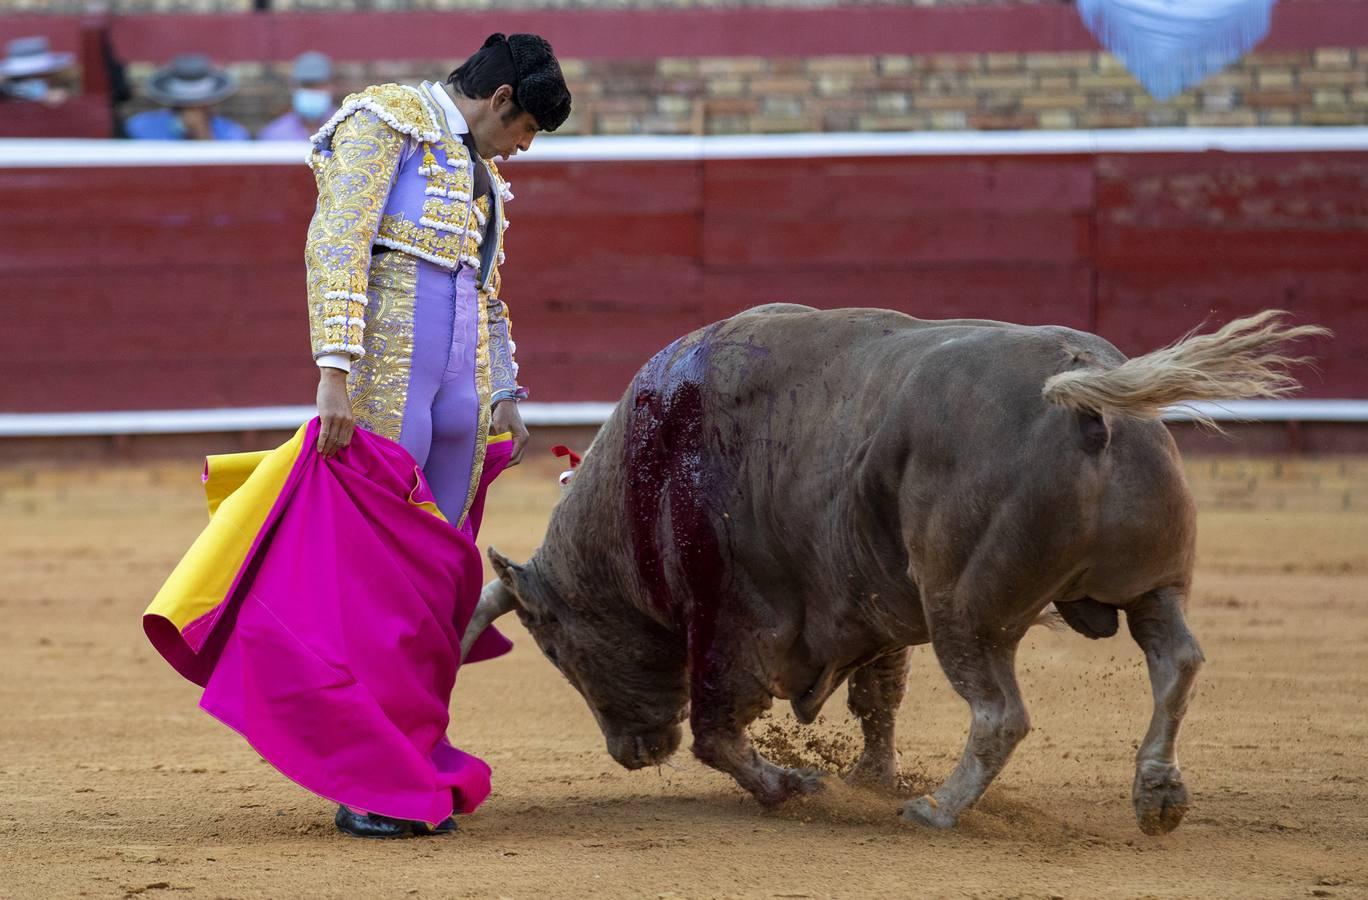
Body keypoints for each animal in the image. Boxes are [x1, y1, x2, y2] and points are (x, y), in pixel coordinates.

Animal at [462, 305, 1324, 831]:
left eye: (558, 650)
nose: (629, 754)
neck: (648, 476)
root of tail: (1080, 392)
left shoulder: (728, 622)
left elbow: (716, 731)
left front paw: (798, 786)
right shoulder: (870, 606)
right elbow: (878, 699)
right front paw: (871, 778)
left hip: (966, 608)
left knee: (1000, 712)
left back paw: (939, 811)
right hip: (1151, 586)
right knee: (1176, 659)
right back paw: (1158, 795)